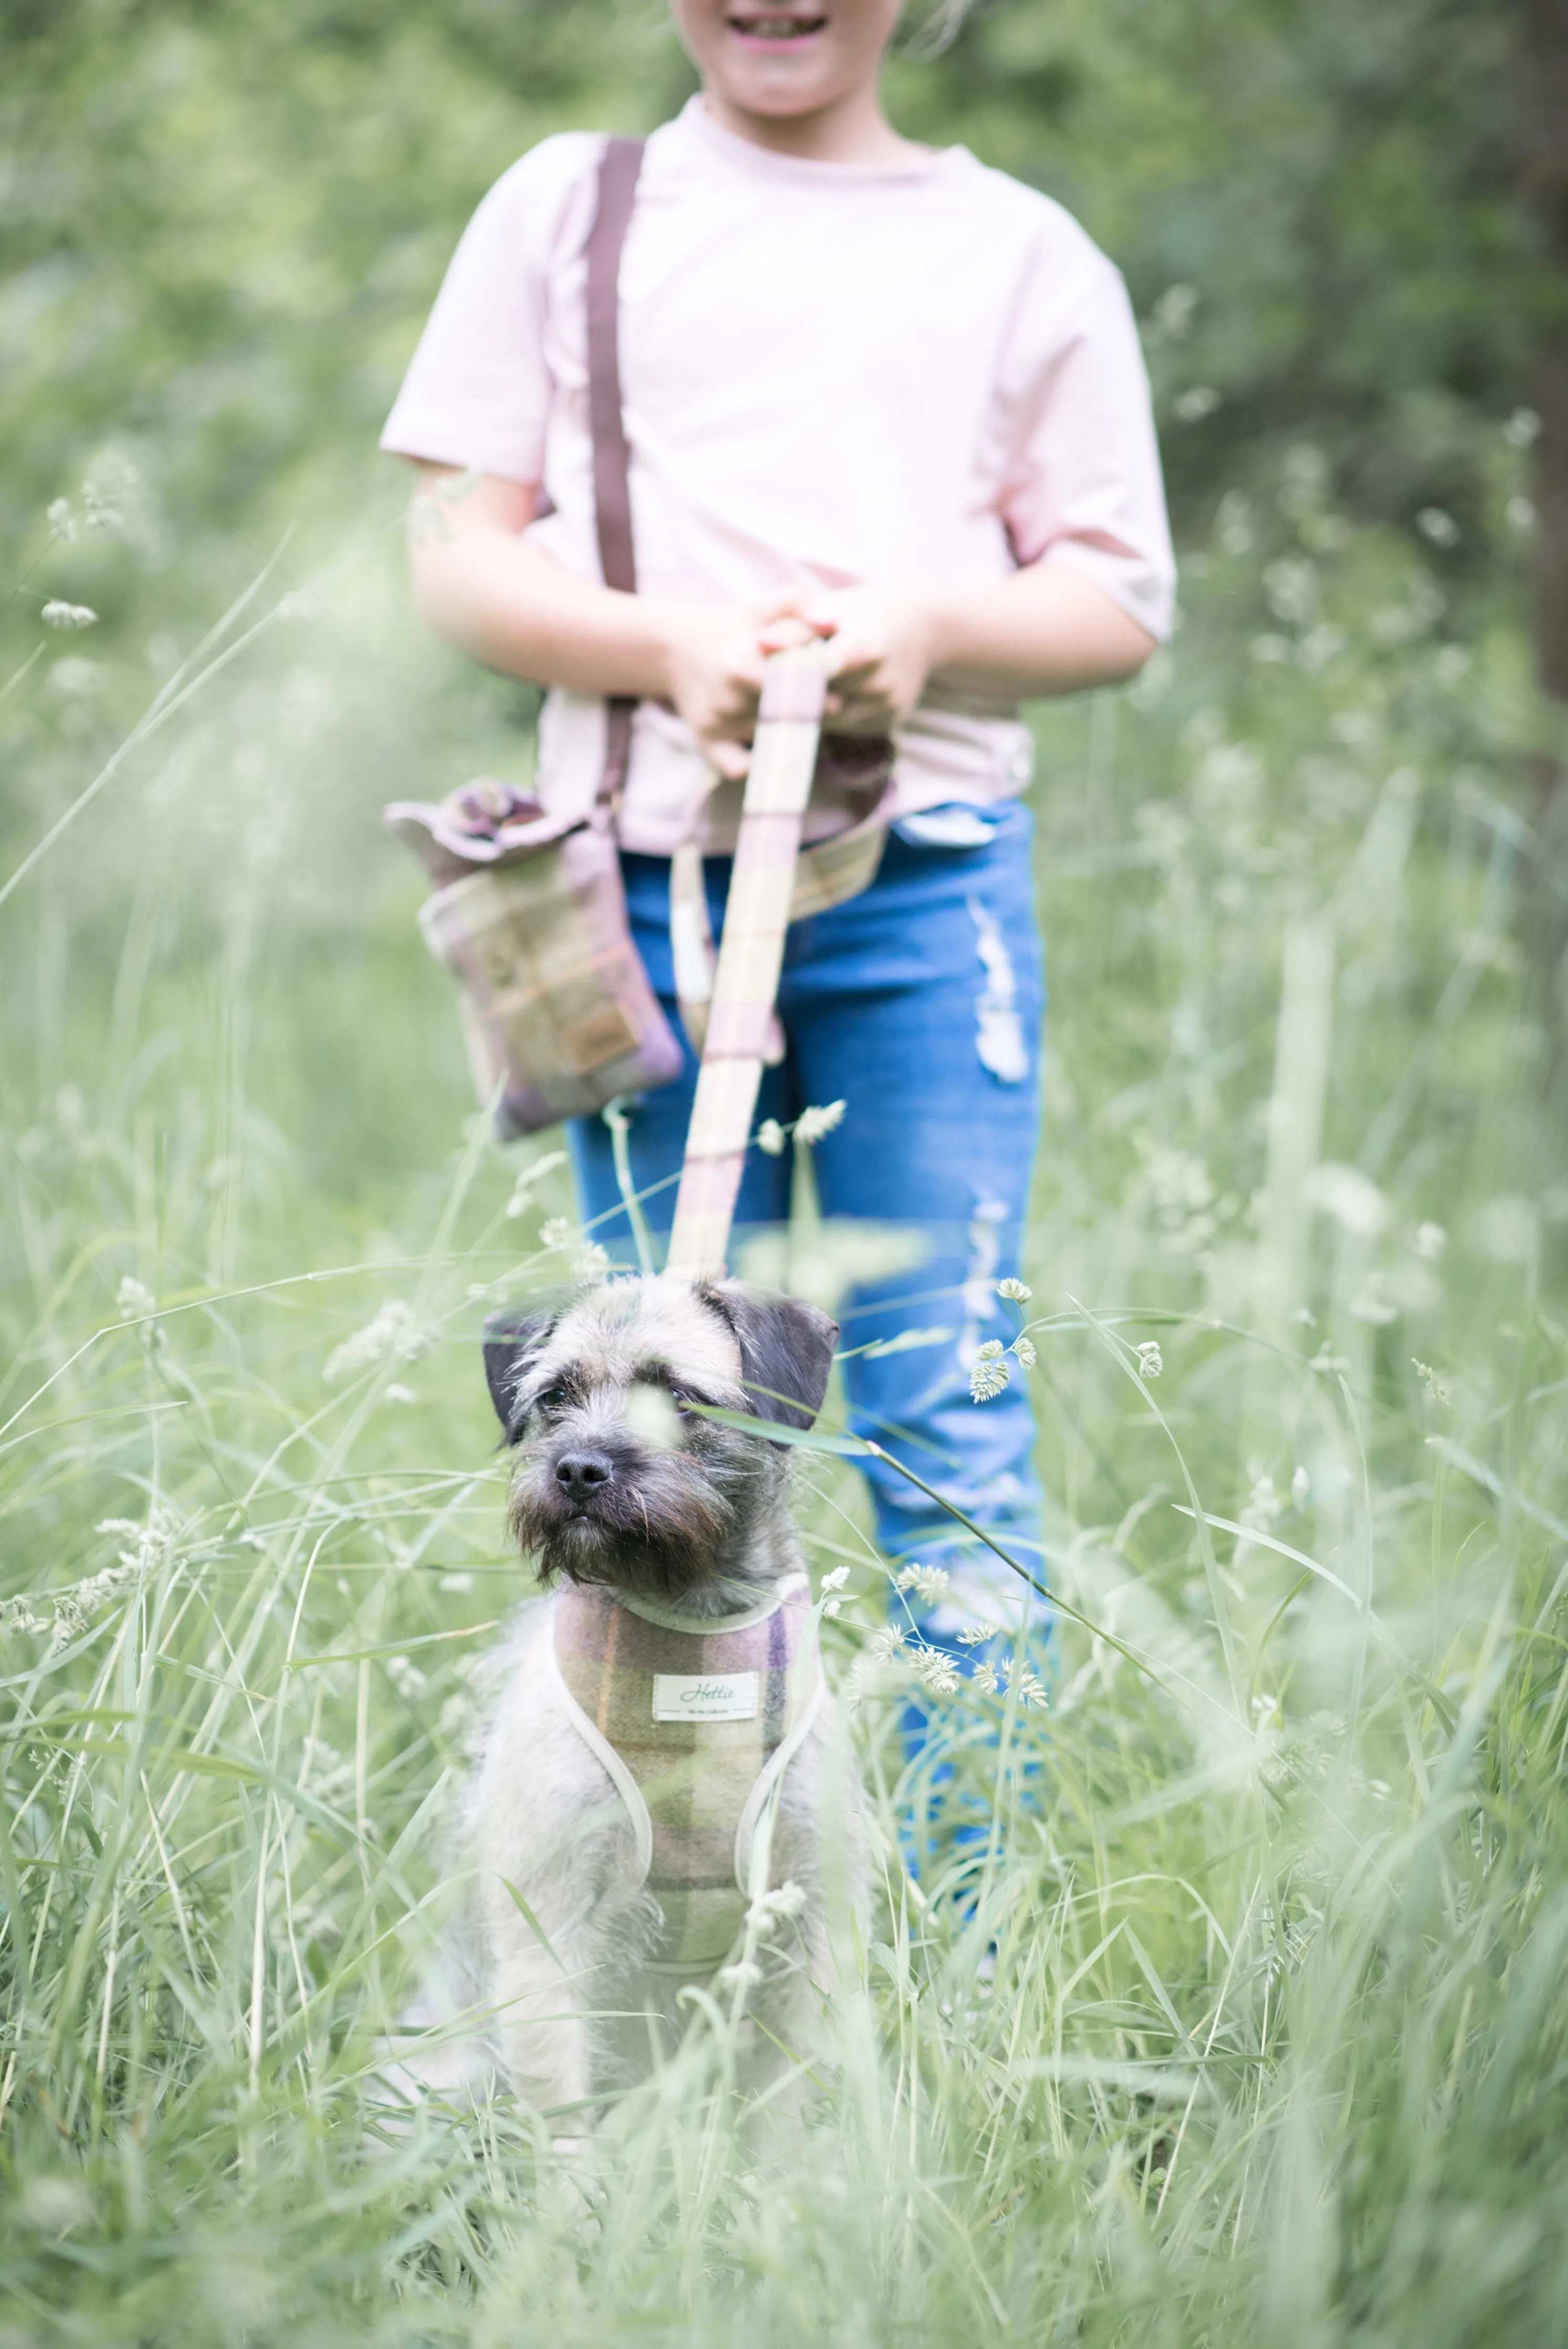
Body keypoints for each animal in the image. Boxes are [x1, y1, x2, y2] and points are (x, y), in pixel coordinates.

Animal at [380, 1277, 869, 2142]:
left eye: (678, 1397)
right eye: (555, 1397)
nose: (579, 1469)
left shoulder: (807, 1925)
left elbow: (784, 2111)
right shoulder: (546, 1929)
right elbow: (565, 2112)